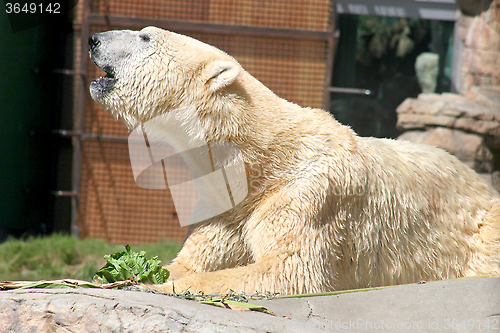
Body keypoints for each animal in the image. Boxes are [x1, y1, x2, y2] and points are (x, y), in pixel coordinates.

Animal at [89, 26, 500, 294]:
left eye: (145, 37)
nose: (93, 39)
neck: (260, 162)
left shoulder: (305, 195)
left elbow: (289, 269)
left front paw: (151, 285)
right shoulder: (228, 209)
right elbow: (195, 258)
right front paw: (125, 274)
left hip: (479, 230)